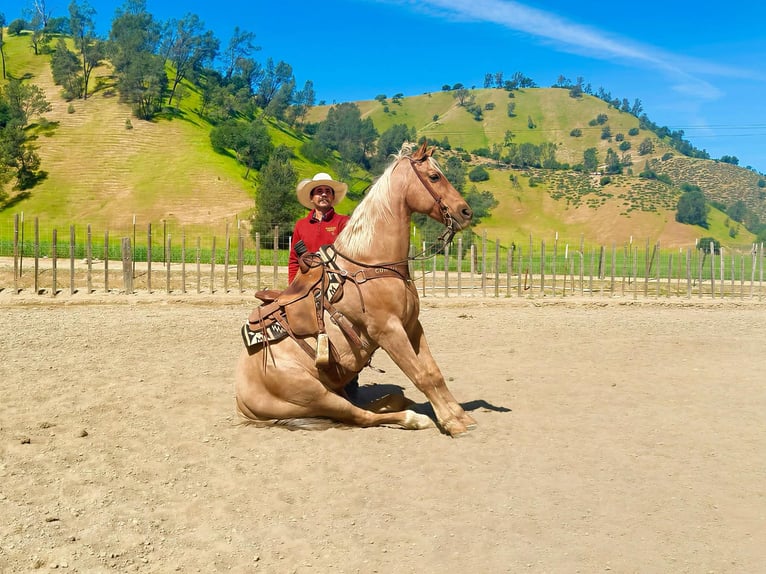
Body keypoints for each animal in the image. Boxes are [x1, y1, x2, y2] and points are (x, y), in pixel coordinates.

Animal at [235, 142, 477, 437]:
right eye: (434, 177)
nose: (465, 212)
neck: (372, 264)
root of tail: (241, 400)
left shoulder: (412, 326)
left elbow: (435, 372)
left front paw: (460, 415)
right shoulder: (389, 331)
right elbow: (423, 376)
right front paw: (453, 422)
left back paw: (394, 401)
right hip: (317, 395)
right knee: (359, 416)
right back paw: (412, 417)